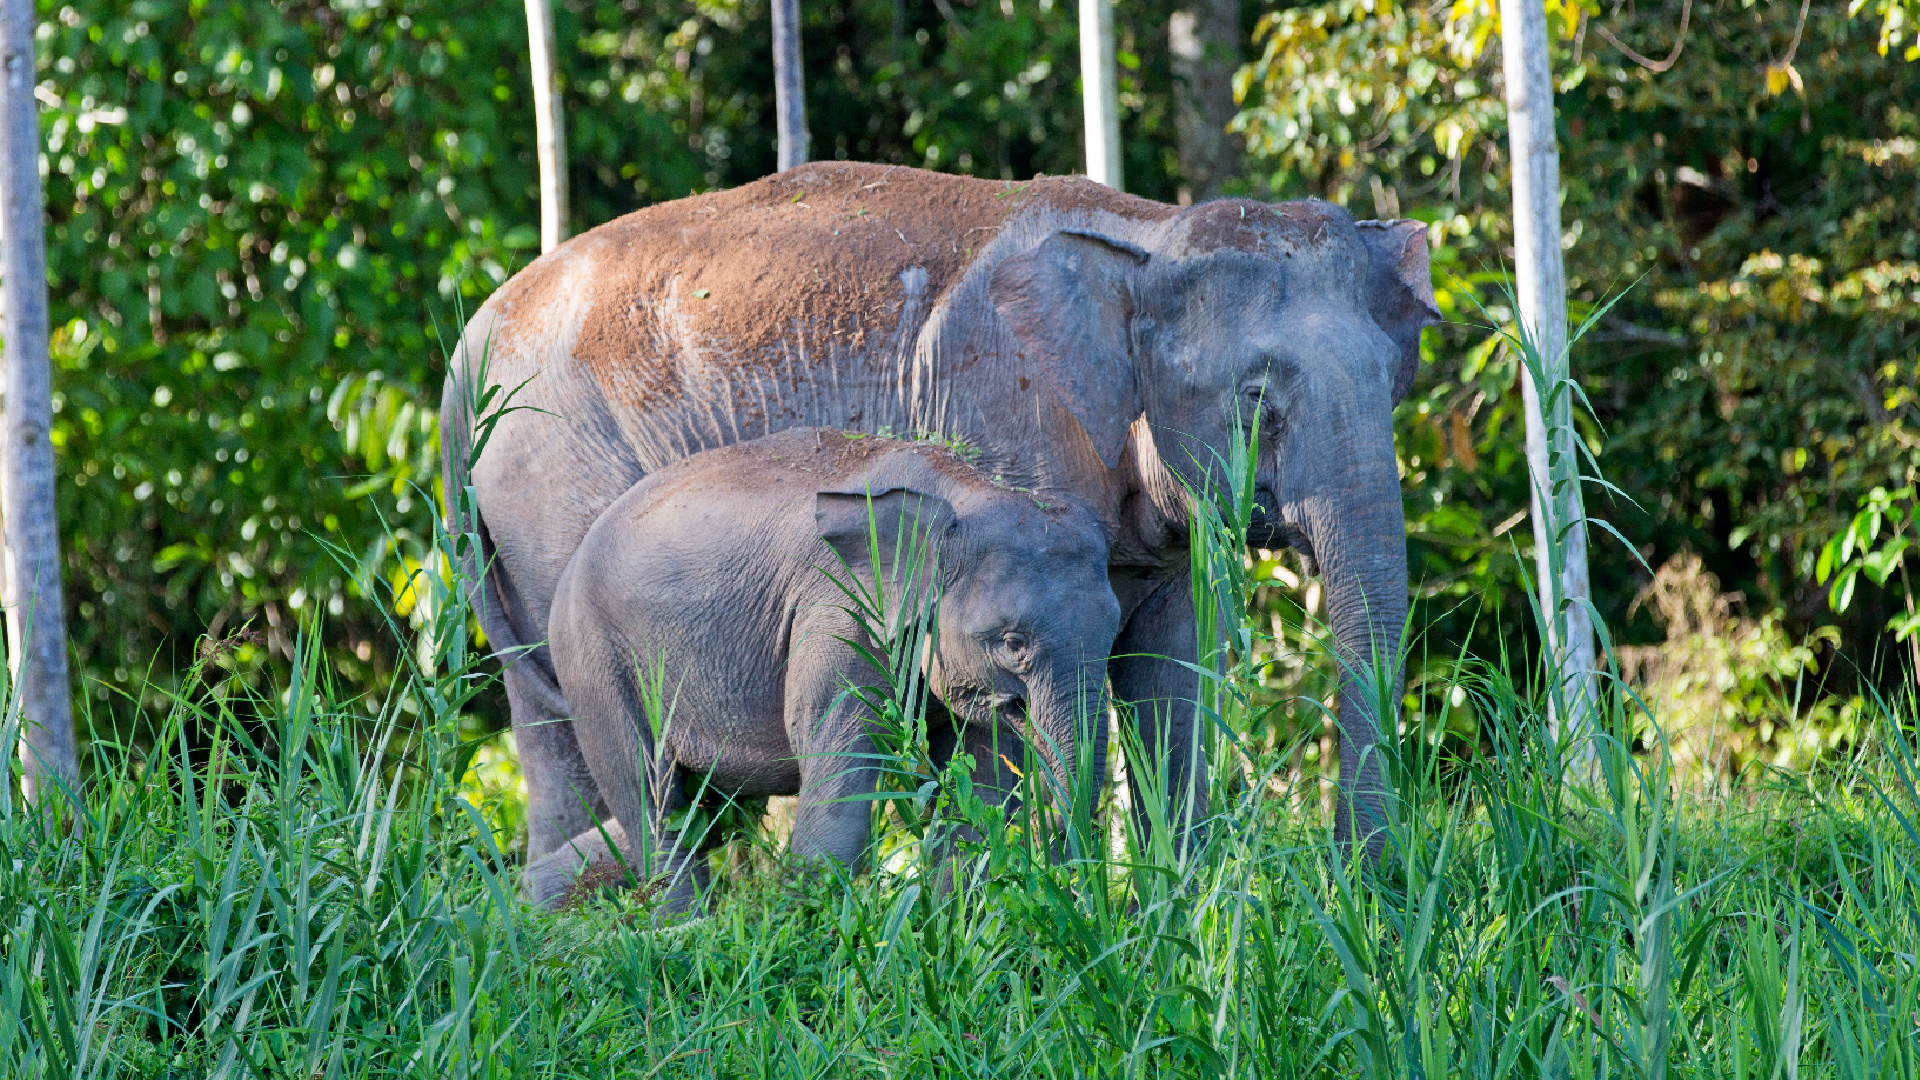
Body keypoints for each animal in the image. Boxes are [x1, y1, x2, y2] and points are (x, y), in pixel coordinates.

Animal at [526, 424, 1121, 903]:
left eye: (1116, 630)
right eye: (1013, 642)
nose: (1073, 869)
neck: (959, 492)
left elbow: (981, 775)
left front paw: (960, 914)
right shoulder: (840, 607)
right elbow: (841, 743)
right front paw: (814, 923)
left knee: (696, 814)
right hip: (594, 662)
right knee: (654, 803)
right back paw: (680, 929)